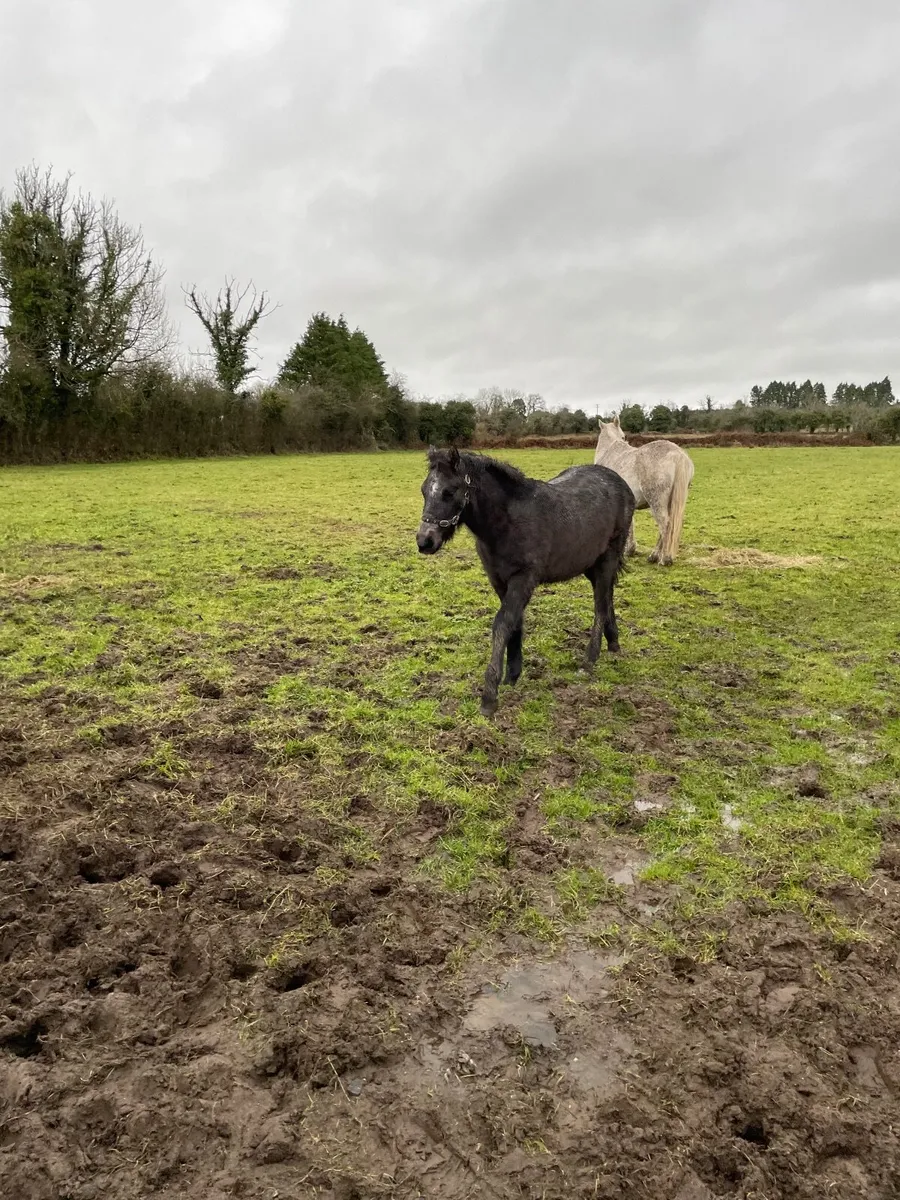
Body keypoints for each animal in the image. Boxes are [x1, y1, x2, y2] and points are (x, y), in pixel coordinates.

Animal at [416, 446, 635, 717]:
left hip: (608, 557)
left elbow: (502, 623)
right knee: (607, 595)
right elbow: (515, 623)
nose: (424, 541)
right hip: (590, 563)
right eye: (424, 490)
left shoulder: (523, 579)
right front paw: (512, 674)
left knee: (601, 604)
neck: (507, 522)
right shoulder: (499, 580)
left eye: (449, 492)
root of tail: (621, 483)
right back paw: (613, 642)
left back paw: (589, 659)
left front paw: (489, 697)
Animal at [593, 416, 694, 565]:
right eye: (623, 436)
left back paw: (664, 558)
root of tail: (677, 455)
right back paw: (655, 556)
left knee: (665, 524)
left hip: (656, 502)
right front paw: (630, 550)